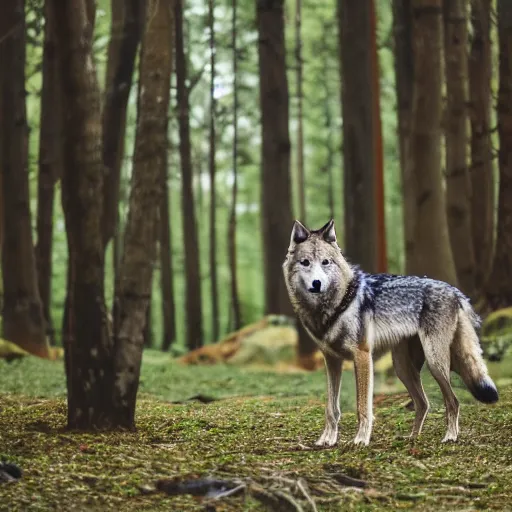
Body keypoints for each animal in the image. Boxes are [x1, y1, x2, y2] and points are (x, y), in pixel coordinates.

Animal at [282, 218, 498, 446]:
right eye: (305, 262)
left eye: (325, 262)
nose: (317, 283)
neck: (334, 306)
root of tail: (454, 291)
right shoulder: (332, 361)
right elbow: (331, 409)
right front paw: (327, 440)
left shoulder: (362, 357)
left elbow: (362, 407)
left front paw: (361, 440)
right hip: (403, 368)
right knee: (424, 403)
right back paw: (412, 437)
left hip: (436, 363)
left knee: (453, 401)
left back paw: (450, 436)